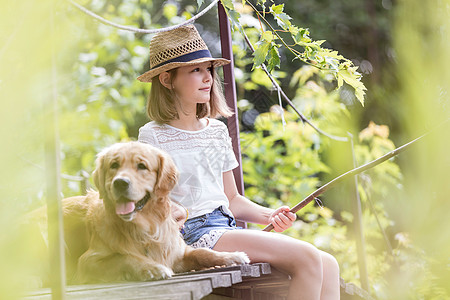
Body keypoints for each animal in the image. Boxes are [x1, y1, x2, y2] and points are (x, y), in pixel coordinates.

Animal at [26, 142, 248, 284]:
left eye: (142, 166)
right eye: (114, 165)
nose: (120, 183)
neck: (145, 228)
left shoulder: (177, 253)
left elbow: (204, 252)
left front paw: (232, 256)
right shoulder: (88, 261)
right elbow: (123, 257)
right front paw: (152, 268)